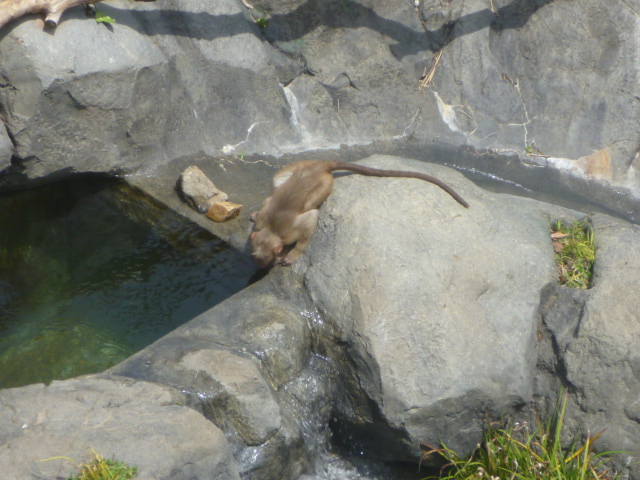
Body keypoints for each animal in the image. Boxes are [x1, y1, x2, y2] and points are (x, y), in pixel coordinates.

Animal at [248, 160, 468, 266]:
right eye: (256, 259)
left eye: (264, 260)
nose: (261, 267)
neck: (271, 230)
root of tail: (319, 166)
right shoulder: (264, 219)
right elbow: (267, 203)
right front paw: (255, 214)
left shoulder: (290, 232)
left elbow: (310, 220)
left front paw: (294, 253)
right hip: (297, 167)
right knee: (278, 181)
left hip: (325, 185)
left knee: (311, 202)